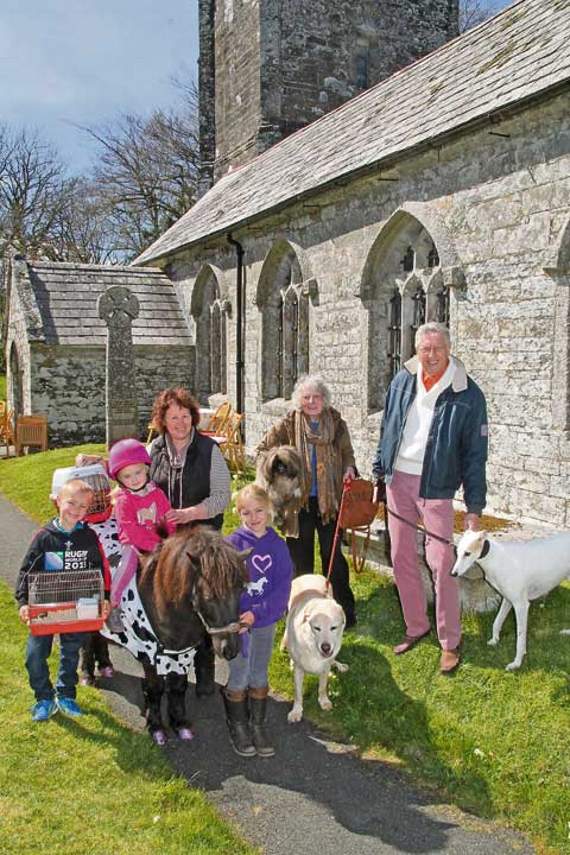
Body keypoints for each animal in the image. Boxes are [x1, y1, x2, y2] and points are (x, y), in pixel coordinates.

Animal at [281, 574, 348, 722]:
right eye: (317, 628)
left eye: (333, 627)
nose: (326, 648)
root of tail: (309, 575)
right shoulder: (299, 670)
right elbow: (298, 693)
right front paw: (296, 711)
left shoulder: (324, 666)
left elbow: (322, 687)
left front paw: (324, 701)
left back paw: (339, 666)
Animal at [451, 529, 570, 671]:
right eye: (457, 552)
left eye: (467, 553)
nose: (453, 574)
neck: (497, 558)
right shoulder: (507, 599)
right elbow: (497, 622)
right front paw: (495, 640)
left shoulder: (521, 605)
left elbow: (520, 637)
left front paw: (517, 663)